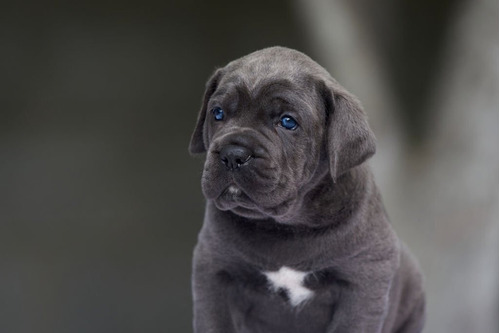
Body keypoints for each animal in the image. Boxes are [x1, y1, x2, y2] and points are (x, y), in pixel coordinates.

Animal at [189, 47, 424, 332]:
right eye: (218, 113)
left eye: (288, 122)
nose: (233, 154)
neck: (286, 227)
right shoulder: (214, 271)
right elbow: (215, 322)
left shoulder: (363, 281)